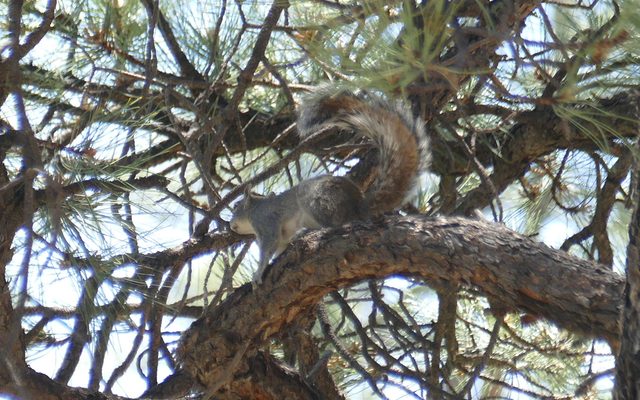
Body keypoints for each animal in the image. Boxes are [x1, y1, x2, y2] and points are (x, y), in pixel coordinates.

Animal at [230, 86, 430, 287]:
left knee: (334, 224)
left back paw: (309, 232)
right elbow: (280, 245)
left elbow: (268, 246)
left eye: (235, 206)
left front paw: (258, 273)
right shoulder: (280, 234)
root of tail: (358, 207)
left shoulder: (265, 222)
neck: (254, 209)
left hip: (316, 200)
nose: (230, 226)